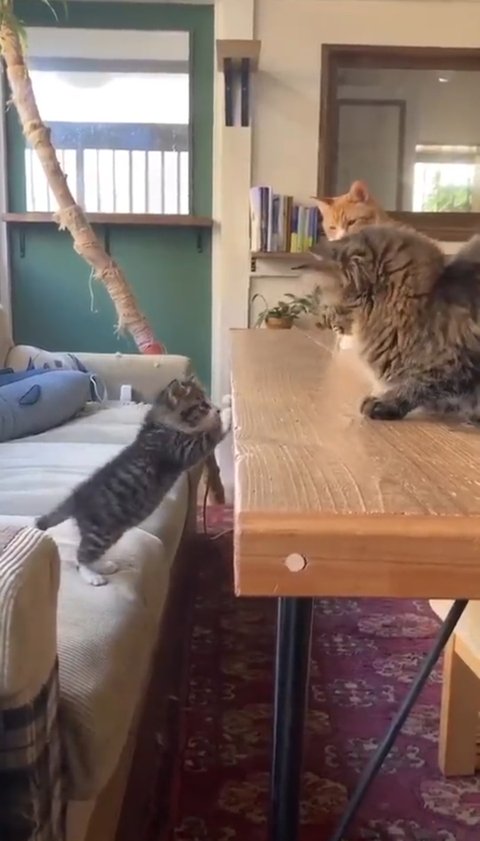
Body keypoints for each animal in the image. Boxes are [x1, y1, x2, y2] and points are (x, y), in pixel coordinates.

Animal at [36, 377, 232, 586]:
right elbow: (210, 434)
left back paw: (103, 566)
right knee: (81, 556)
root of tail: (77, 496)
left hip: (112, 532)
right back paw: (92, 576)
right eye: (202, 404)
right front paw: (225, 412)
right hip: (100, 532)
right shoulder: (182, 450)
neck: (160, 424)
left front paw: (224, 406)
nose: (214, 408)